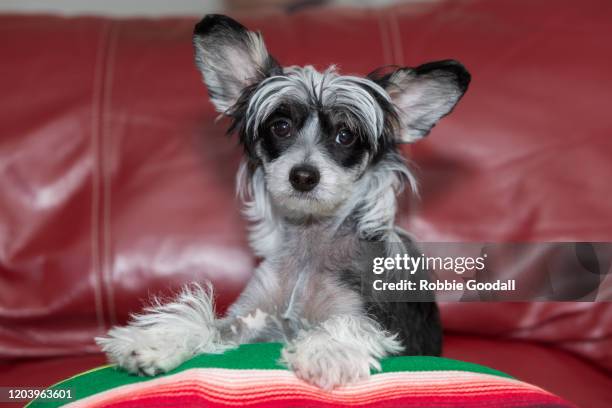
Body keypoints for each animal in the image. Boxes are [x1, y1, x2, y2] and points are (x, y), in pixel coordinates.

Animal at [95, 14, 470, 390]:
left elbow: (348, 325)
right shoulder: (249, 322)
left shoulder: (370, 318)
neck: (309, 251)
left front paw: (326, 350)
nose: (303, 176)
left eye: (345, 135)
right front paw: (154, 341)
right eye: (281, 126)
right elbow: (202, 320)